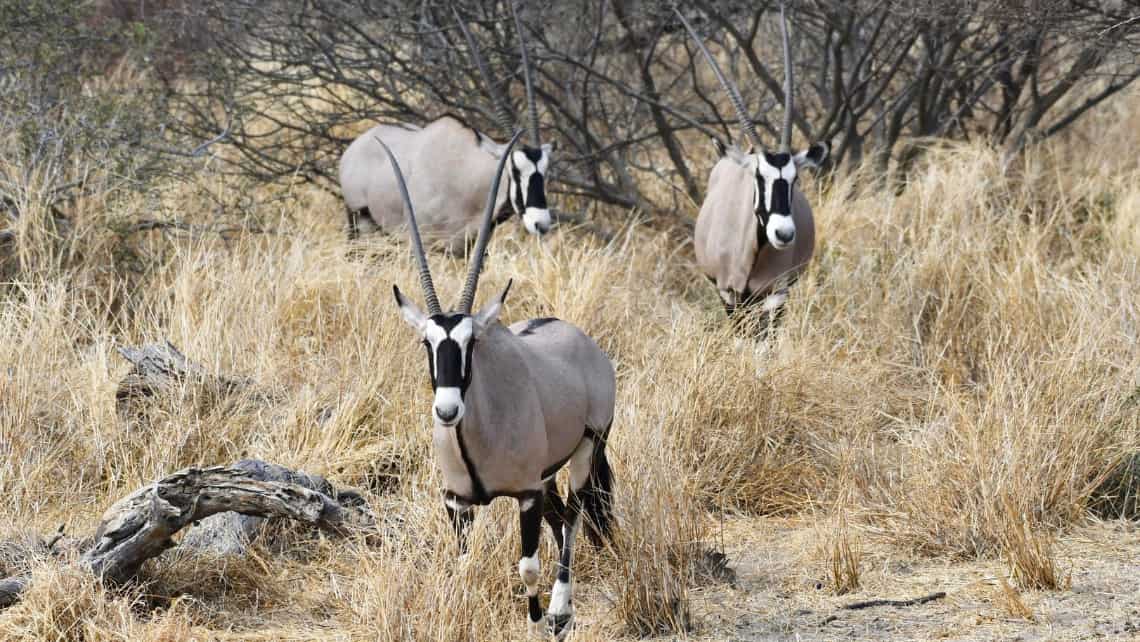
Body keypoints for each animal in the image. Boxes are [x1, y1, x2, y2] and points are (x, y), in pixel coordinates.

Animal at [335, 3, 554, 252]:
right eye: (515, 171)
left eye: (545, 171)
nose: (541, 224)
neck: (467, 177)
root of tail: (356, 145)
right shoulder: (424, 241)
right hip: (361, 223)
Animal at [380, 130, 615, 638]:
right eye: (426, 343)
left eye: (472, 342)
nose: (447, 411)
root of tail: (583, 341)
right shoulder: (458, 503)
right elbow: (464, 565)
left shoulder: (525, 495)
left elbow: (527, 566)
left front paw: (538, 620)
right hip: (549, 475)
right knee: (563, 518)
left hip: (586, 450)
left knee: (574, 518)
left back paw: (561, 610)